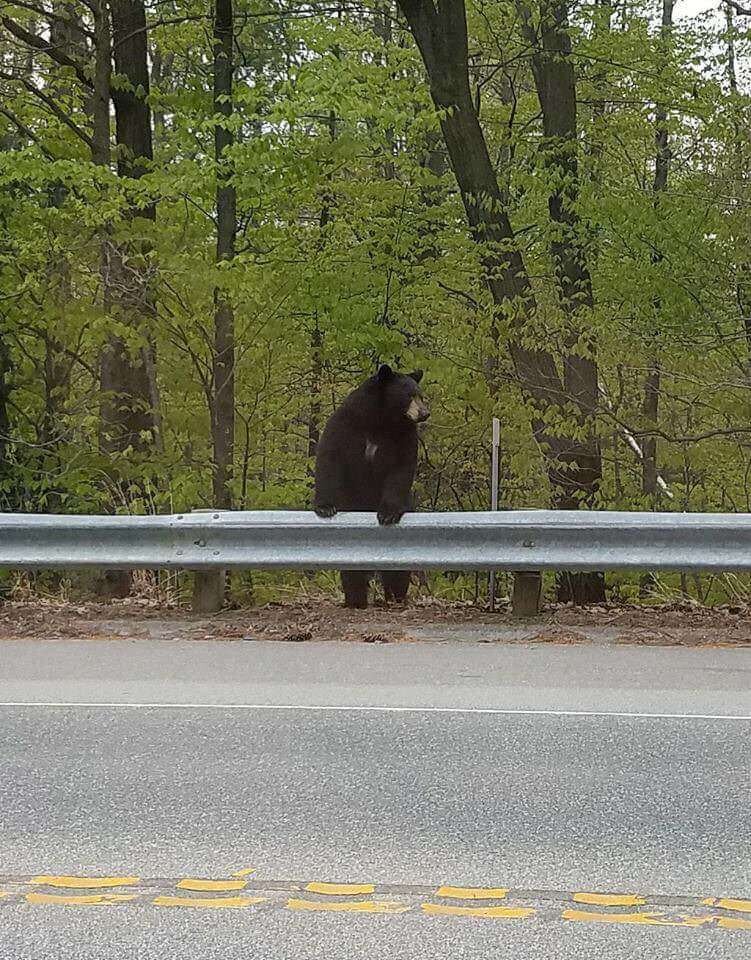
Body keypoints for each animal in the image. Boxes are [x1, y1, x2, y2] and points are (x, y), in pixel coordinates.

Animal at [313, 363, 429, 609]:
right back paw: (356, 599)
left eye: (420, 394)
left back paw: (395, 598)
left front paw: (387, 514)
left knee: (397, 572)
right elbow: (329, 457)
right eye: (409, 395)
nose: (425, 413)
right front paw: (325, 507)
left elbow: (400, 469)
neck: (380, 419)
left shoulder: (403, 435)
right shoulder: (345, 424)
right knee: (352, 569)